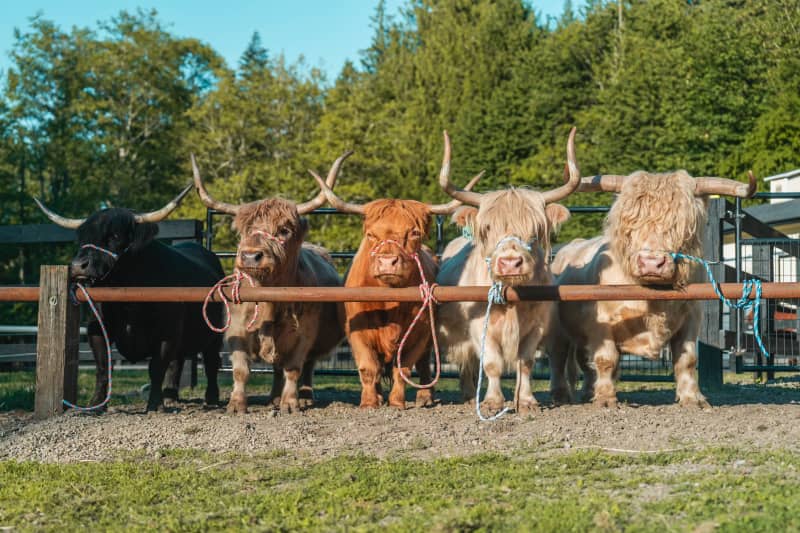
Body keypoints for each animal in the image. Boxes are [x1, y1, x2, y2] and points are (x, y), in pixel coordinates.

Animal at [34, 187, 225, 412]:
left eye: (114, 235)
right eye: (81, 238)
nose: (78, 266)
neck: (128, 303)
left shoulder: (167, 333)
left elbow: (156, 368)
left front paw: (155, 404)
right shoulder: (96, 328)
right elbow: (103, 366)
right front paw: (96, 404)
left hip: (215, 334)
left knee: (211, 363)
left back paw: (211, 397)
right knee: (177, 363)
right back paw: (171, 395)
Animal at [192, 153, 349, 414]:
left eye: (284, 230)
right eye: (244, 230)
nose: (250, 256)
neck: (269, 300)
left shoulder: (304, 334)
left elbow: (294, 368)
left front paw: (290, 403)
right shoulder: (236, 330)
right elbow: (241, 370)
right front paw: (236, 404)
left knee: (307, 366)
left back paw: (304, 396)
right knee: (276, 368)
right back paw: (273, 397)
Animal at [311, 141, 482, 409]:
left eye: (414, 233)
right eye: (371, 234)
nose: (387, 261)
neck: (388, 301)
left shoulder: (420, 333)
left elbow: (404, 368)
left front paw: (398, 402)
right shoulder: (356, 333)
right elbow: (368, 367)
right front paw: (369, 402)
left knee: (424, 364)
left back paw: (424, 397)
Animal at [435, 128, 580, 413]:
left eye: (536, 228)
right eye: (488, 227)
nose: (511, 262)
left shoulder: (536, 327)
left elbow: (526, 362)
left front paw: (526, 401)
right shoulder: (479, 326)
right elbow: (492, 363)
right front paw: (492, 402)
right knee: (466, 361)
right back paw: (468, 395)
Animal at [547, 169, 757, 408]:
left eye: (681, 223)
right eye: (630, 223)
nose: (651, 262)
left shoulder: (691, 317)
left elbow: (687, 359)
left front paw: (692, 398)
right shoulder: (601, 323)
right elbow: (606, 359)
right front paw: (607, 399)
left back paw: (588, 392)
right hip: (558, 329)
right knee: (559, 357)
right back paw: (561, 396)